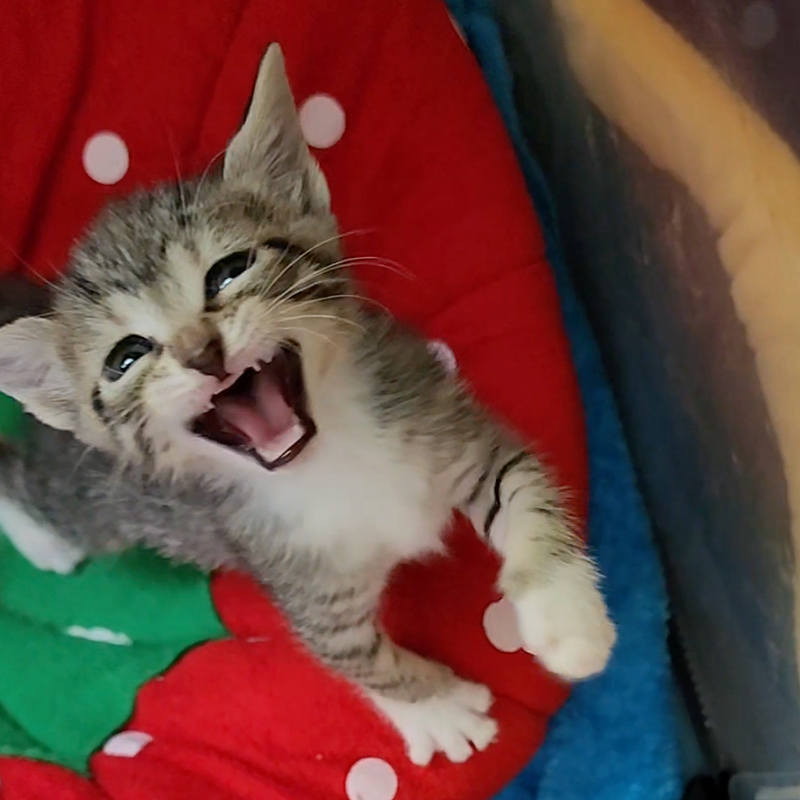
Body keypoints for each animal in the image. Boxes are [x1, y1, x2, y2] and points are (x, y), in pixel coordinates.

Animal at [0, 45, 616, 768]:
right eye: (126, 357)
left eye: (228, 271)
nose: (202, 351)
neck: (331, 458)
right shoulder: (299, 585)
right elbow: (354, 656)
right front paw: (435, 707)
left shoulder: (440, 414)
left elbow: (523, 487)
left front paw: (565, 615)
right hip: (91, 502)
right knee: (19, 475)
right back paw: (42, 540)